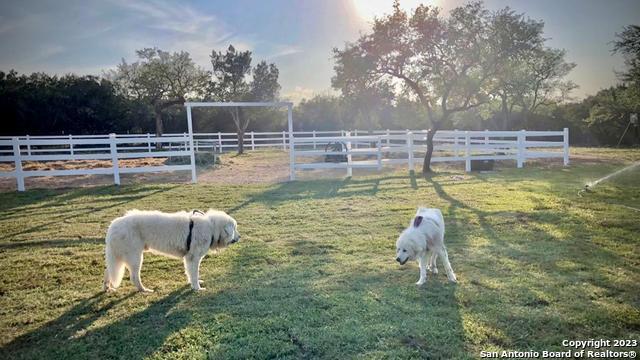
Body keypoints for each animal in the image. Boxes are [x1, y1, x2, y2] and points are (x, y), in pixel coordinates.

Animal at [105, 210, 240, 292]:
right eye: (234, 228)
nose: (240, 237)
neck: (211, 228)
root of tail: (113, 225)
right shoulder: (193, 258)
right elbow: (194, 274)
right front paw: (197, 288)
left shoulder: (188, 258)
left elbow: (190, 273)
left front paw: (193, 283)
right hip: (135, 258)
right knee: (134, 277)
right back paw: (144, 290)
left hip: (117, 258)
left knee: (108, 272)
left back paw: (108, 288)